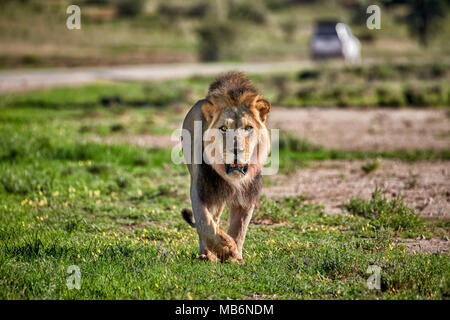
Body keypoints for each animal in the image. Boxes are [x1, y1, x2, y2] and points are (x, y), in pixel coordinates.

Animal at [180, 71, 270, 262]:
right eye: (223, 128)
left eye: (248, 127)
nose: (236, 150)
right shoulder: (200, 189)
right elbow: (205, 224)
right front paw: (227, 248)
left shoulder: (247, 194)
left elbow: (239, 228)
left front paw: (235, 255)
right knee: (210, 221)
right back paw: (206, 254)